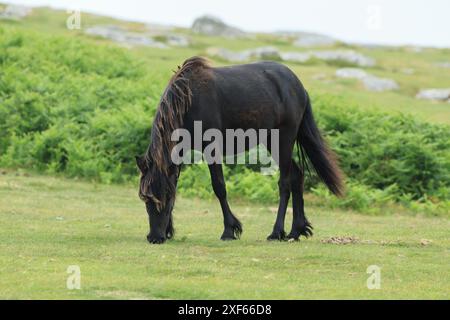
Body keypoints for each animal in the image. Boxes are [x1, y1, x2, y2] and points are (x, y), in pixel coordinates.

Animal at [135, 57, 342, 245]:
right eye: (145, 199)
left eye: (166, 197)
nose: (154, 237)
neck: (189, 100)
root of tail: (299, 87)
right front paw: (170, 230)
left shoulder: (211, 147)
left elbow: (219, 187)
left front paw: (229, 230)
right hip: (271, 141)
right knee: (297, 175)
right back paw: (296, 231)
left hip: (283, 139)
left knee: (284, 183)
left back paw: (276, 232)